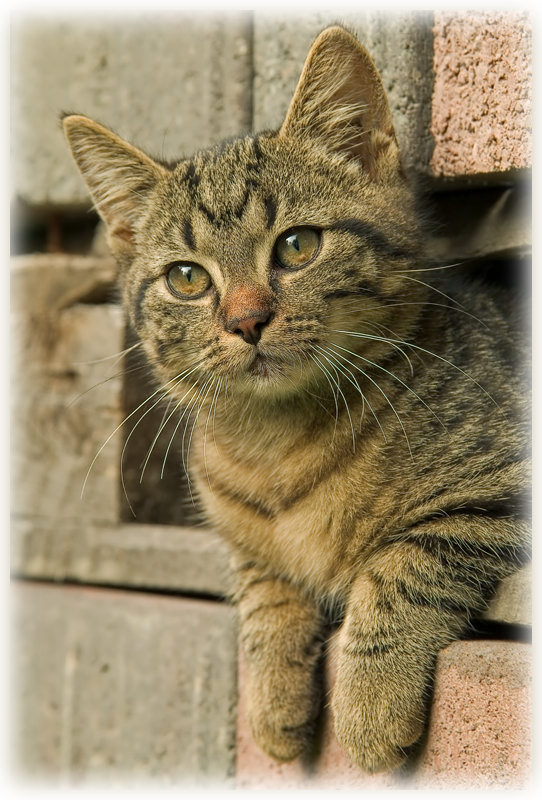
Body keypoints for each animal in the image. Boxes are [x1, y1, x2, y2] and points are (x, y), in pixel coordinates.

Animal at [62, 25, 532, 776]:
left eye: (298, 245)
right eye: (187, 278)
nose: (246, 319)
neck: (280, 441)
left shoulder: (497, 482)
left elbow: (405, 564)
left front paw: (370, 702)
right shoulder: (243, 539)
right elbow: (263, 592)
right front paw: (273, 694)